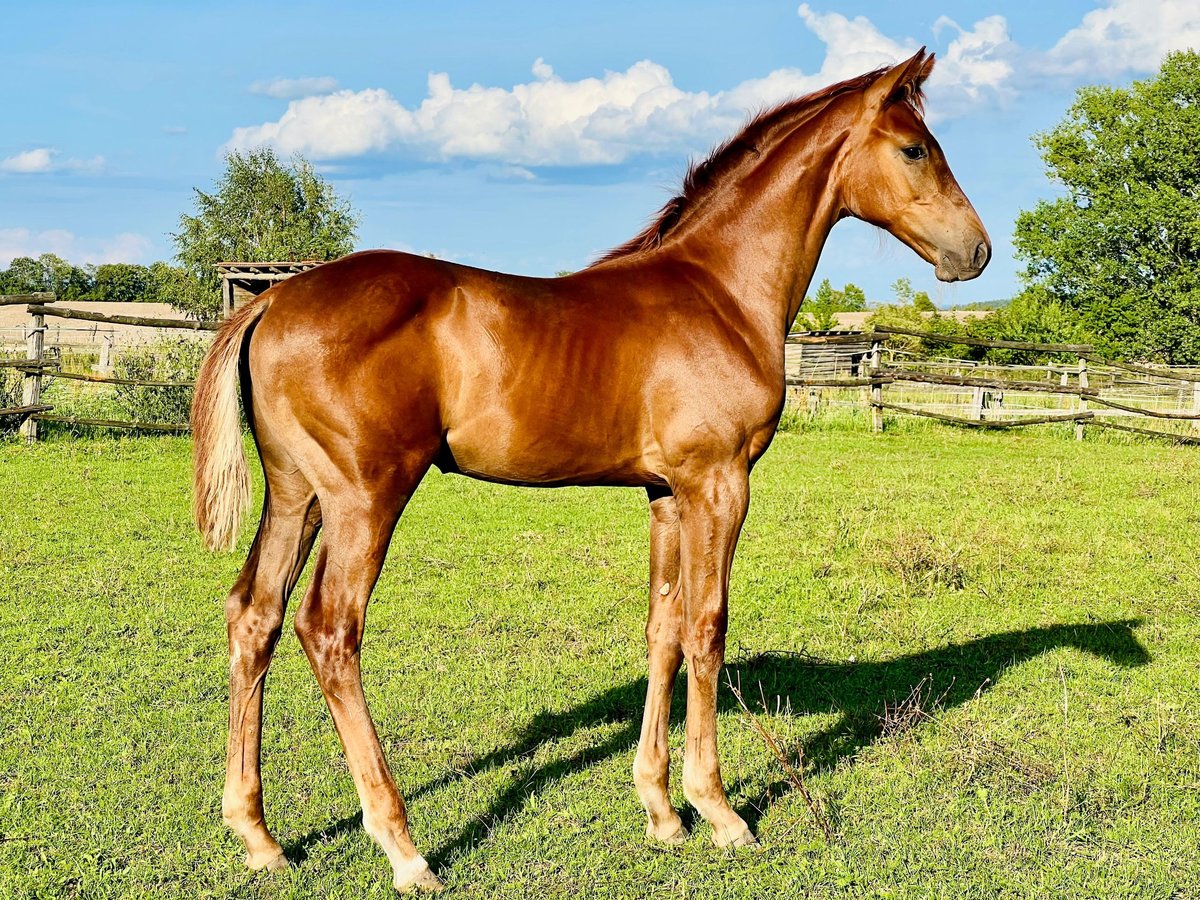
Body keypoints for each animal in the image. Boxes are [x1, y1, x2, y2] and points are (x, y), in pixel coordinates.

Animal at [191, 49, 989, 893]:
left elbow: (663, 628)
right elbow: (707, 626)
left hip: (297, 495)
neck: (720, 292)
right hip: (367, 496)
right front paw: (720, 813)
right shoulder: (719, 484)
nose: (976, 252)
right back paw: (404, 849)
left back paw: (258, 835)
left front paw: (662, 812)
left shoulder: (667, 493)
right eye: (915, 149)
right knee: (329, 629)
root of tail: (273, 298)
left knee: (254, 615)